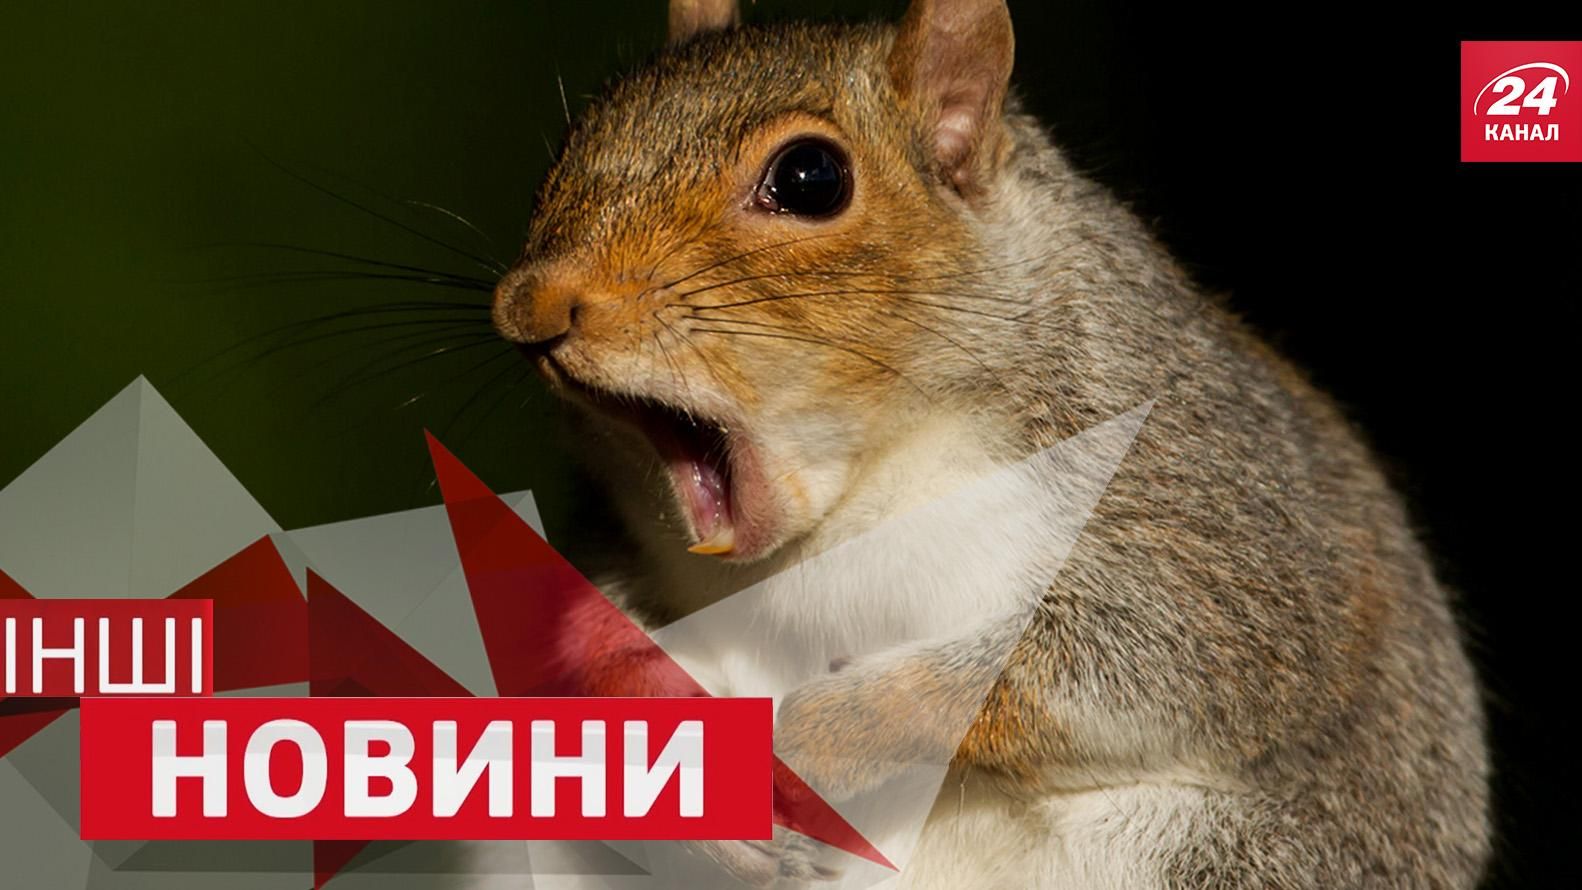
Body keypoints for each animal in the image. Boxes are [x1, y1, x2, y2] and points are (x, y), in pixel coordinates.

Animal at [490, 0, 1491, 887]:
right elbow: (582, 642)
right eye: (575, 137)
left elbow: (1143, 662)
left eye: (811, 178)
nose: (532, 305)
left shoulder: (1206, 520)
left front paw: (814, 738)